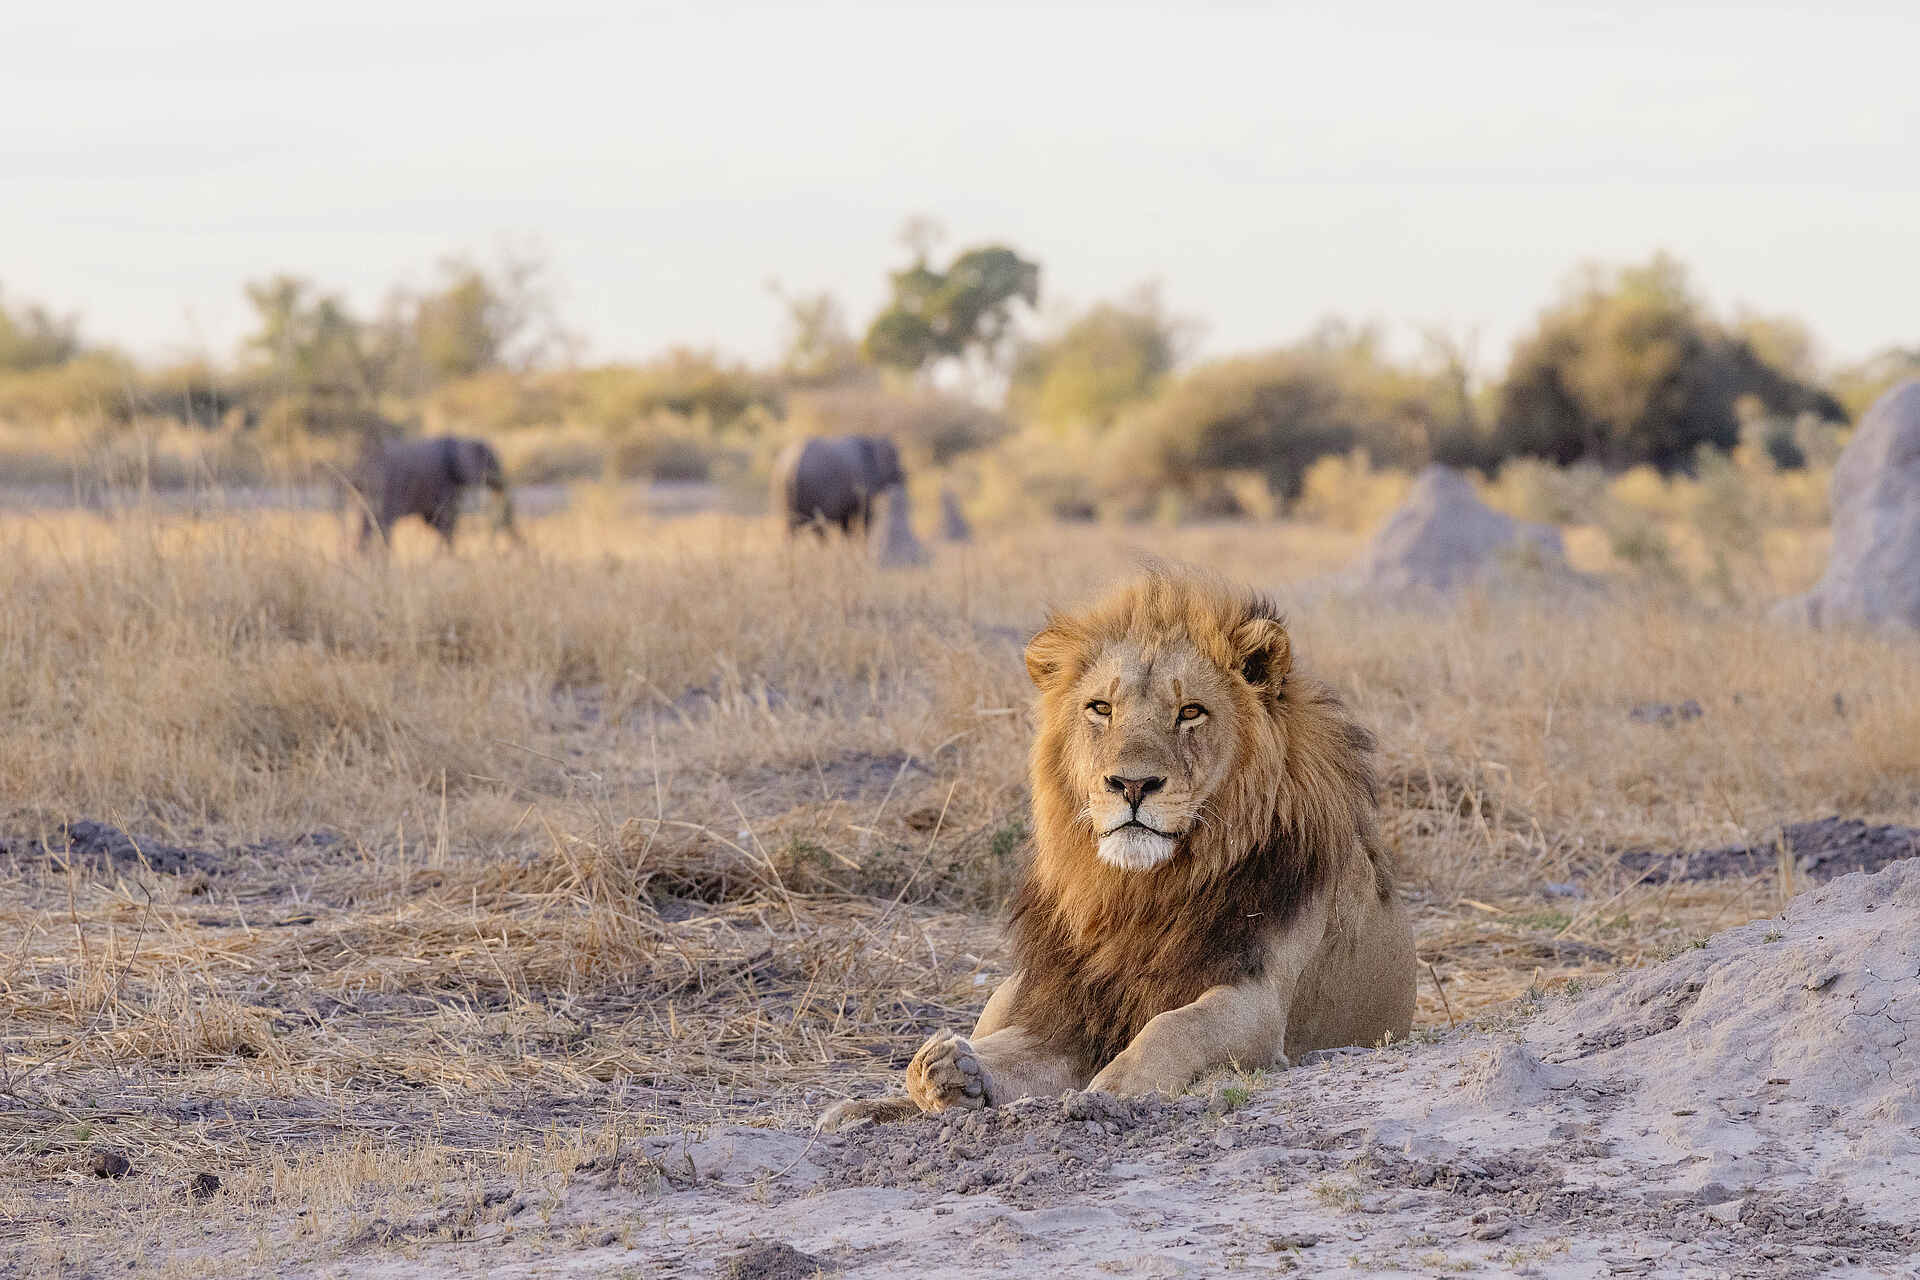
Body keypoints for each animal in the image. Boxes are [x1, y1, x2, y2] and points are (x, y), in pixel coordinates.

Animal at [821, 571, 1416, 1129]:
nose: (1131, 784)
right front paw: (947, 1071)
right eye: (1101, 708)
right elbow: (1012, 1053)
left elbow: (1175, 1027)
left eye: (1191, 712)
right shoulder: (1074, 1012)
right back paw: (864, 1104)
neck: (1141, 892)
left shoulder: (1258, 998)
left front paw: (1111, 1092)